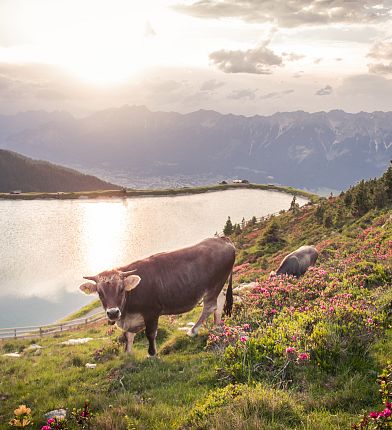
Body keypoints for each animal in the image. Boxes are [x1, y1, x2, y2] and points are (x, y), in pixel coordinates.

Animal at [78, 237, 234, 354]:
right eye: (99, 293)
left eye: (121, 289)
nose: (113, 313)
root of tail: (222, 239)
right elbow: (128, 335)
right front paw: (128, 353)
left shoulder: (152, 311)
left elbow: (150, 333)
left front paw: (152, 354)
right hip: (220, 284)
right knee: (219, 302)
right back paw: (217, 325)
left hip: (214, 285)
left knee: (210, 306)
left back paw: (193, 331)